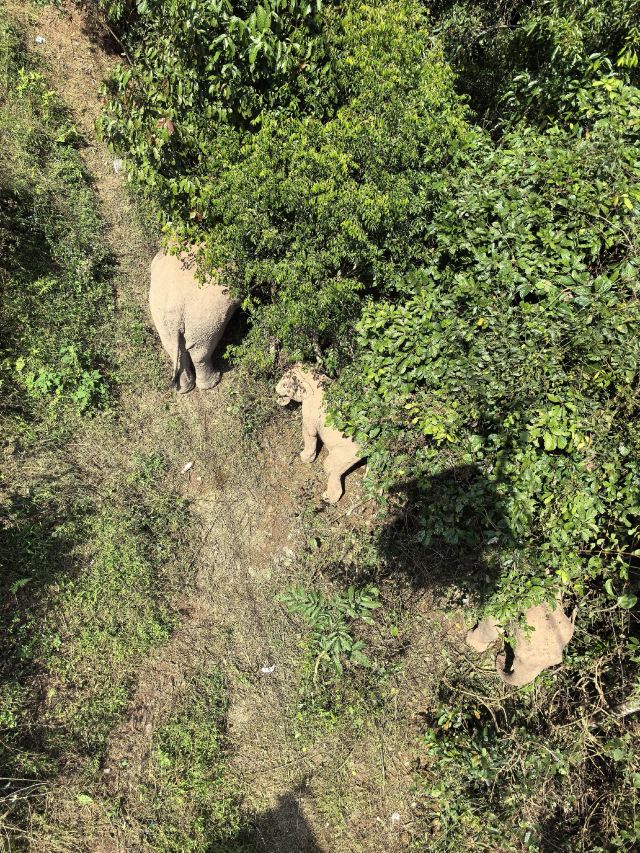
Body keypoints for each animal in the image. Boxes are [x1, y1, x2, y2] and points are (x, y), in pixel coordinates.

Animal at [149, 247, 239, 393]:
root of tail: (174, 316)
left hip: (162, 320)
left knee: (173, 348)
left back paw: (184, 389)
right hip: (205, 319)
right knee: (201, 350)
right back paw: (214, 381)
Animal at [275, 364, 364, 503]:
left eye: (285, 383)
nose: (275, 388)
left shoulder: (310, 413)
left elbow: (309, 433)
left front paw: (305, 458)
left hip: (343, 455)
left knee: (331, 469)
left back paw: (328, 498)